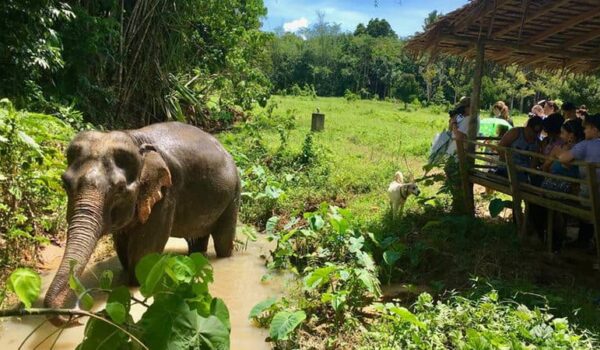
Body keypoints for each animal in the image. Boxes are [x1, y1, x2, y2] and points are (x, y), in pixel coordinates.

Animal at [43, 121, 240, 326]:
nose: (75, 315)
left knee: (223, 241)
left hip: (233, 194)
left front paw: (134, 283)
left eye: (119, 189)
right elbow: (122, 245)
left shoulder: (165, 193)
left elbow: (143, 253)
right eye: (65, 184)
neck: (134, 140)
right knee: (196, 240)